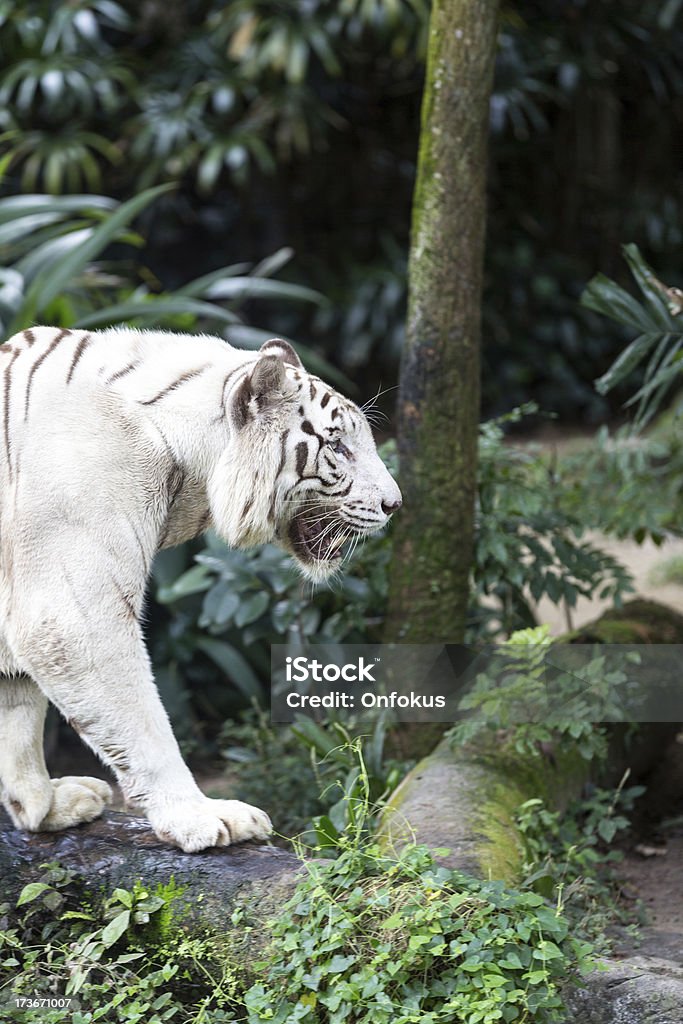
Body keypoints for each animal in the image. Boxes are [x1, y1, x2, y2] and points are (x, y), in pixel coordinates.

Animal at [0, 325, 401, 847]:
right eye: (337, 446)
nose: (395, 504)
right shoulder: (71, 614)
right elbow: (143, 725)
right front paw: (199, 816)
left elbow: (17, 713)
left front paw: (42, 806)